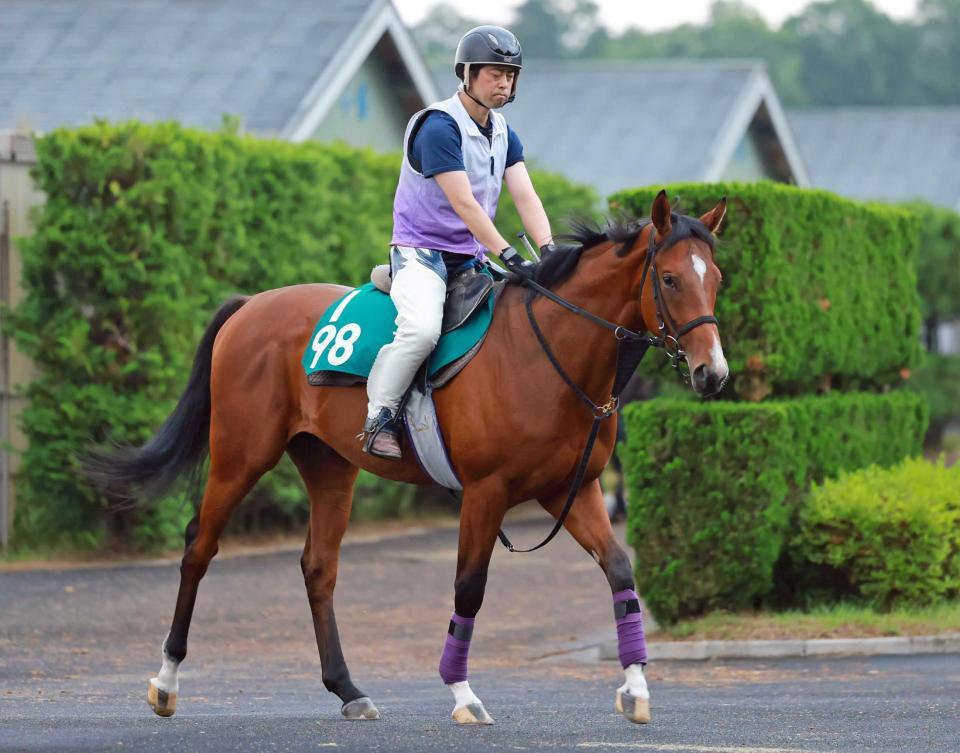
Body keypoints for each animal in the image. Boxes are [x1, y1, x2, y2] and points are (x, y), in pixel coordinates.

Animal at [90, 190, 728, 726]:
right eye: (670, 278)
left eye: (717, 278)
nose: (712, 372)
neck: (548, 350)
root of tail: (252, 306)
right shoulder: (486, 493)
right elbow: (469, 588)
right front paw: (463, 694)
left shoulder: (572, 489)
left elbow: (620, 570)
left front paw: (636, 688)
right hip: (240, 456)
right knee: (198, 547)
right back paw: (166, 680)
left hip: (329, 467)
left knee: (318, 567)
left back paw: (347, 688)